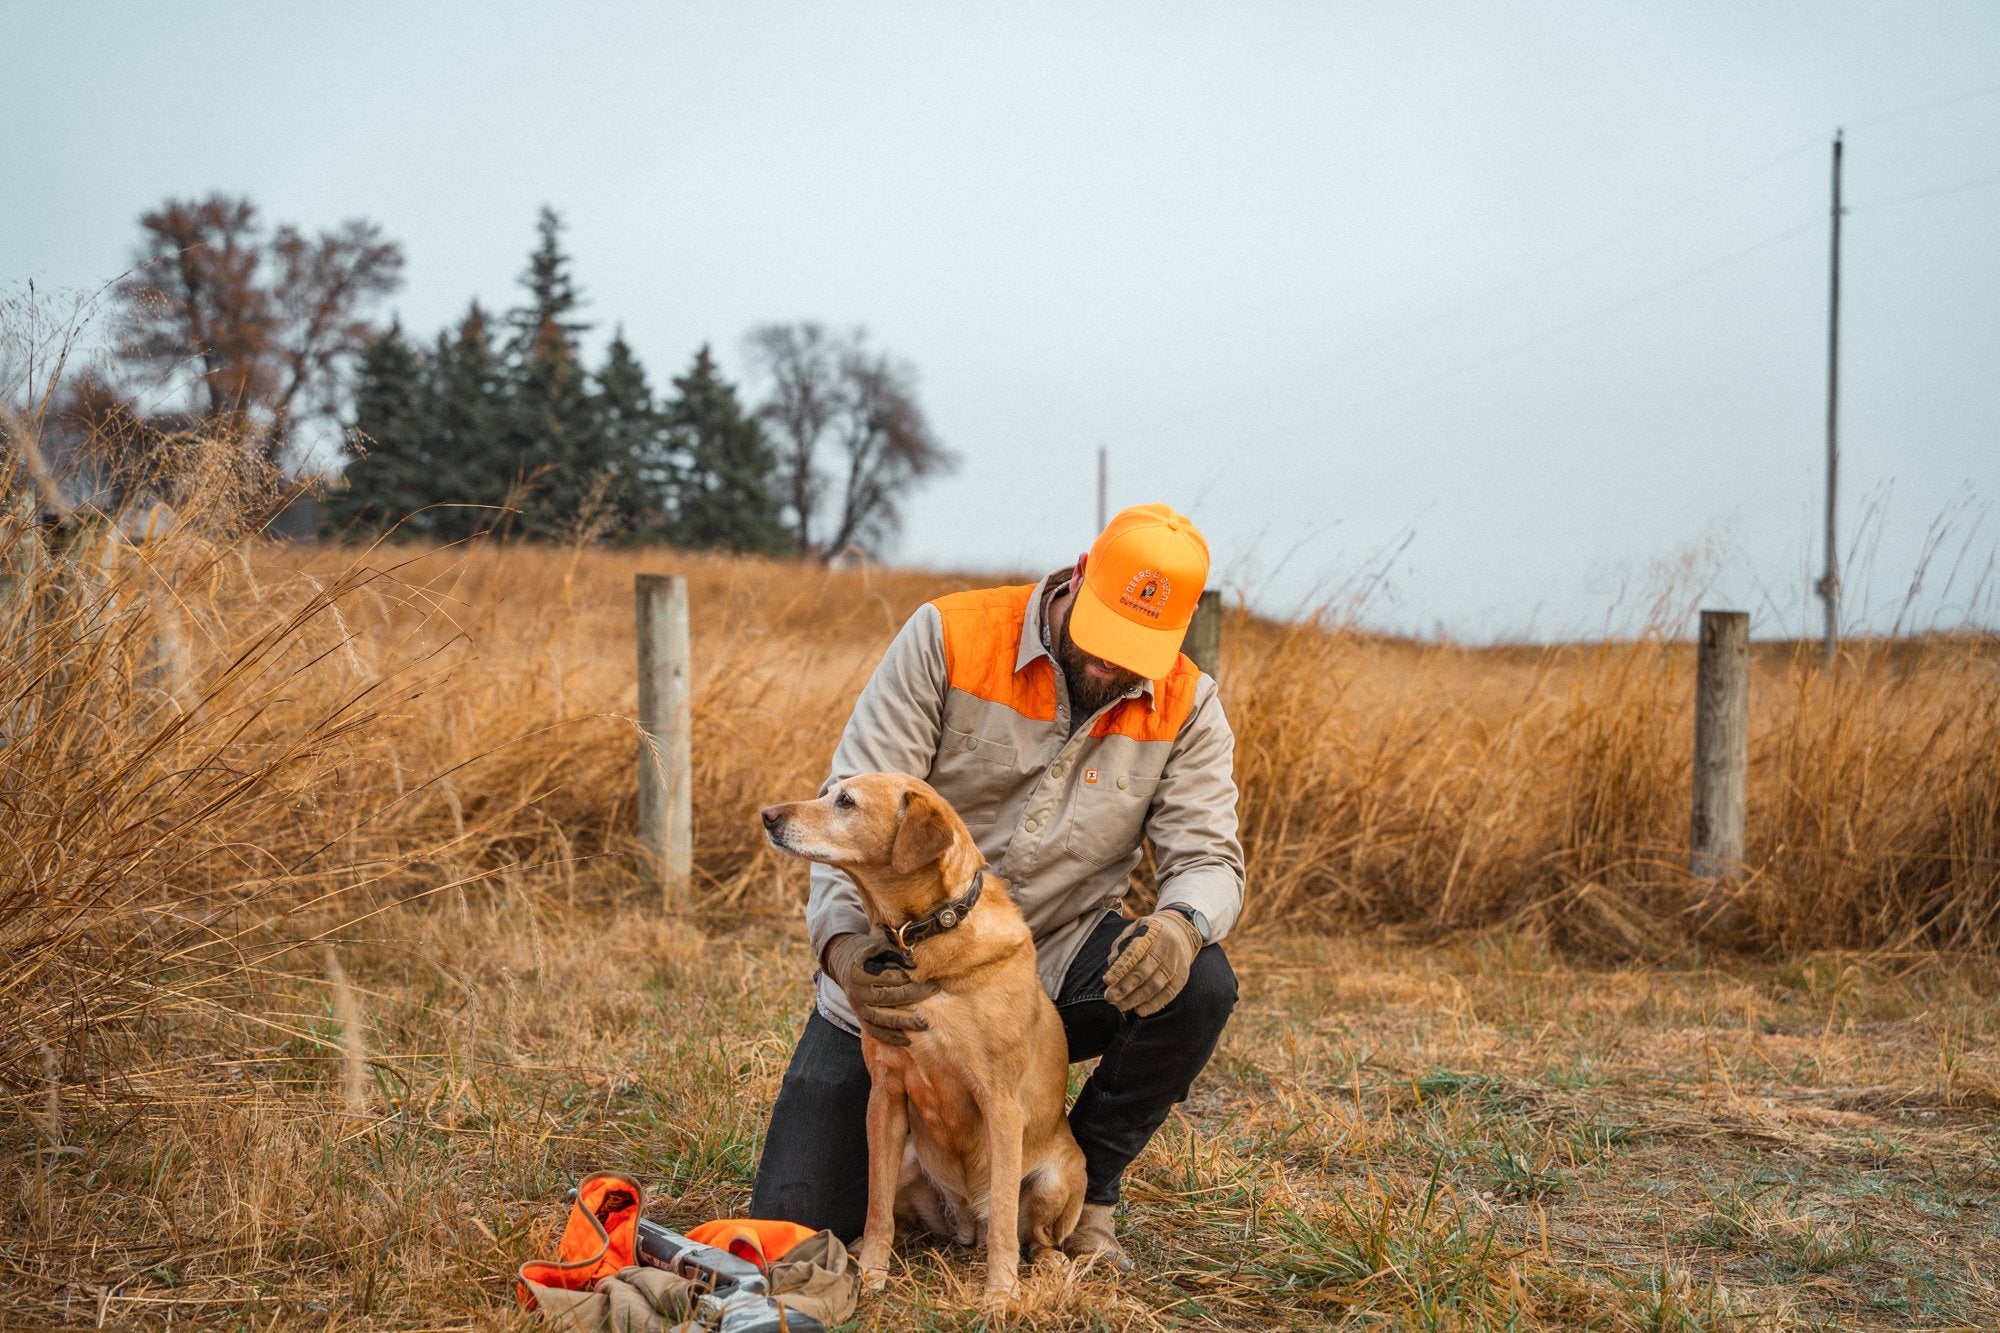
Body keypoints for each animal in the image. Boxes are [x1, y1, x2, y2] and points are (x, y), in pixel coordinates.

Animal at [760, 768, 1080, 1296]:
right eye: (829, 792)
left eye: (846, 802)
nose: (767, 815)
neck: (925, 935)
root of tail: (966, 1223)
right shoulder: (886, 1095)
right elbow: (876, 1207)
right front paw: (871, 1271)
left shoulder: (1000, 1103)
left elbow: (1004, 1220)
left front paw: (1000, 1292)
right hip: (909, 1159)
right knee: (903, 1215)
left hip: (1057, 1179)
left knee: (1030, 1232)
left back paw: (1049, 1260)